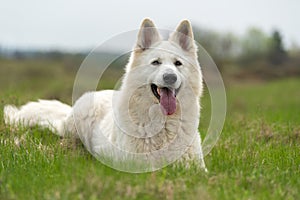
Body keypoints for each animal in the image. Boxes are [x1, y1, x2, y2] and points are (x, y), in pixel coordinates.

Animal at [4, 18, 206, 172]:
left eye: (178, 64)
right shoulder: (138, 165)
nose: (170, 77)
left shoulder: (197, 169)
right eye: (156, 62)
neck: (163, 123)